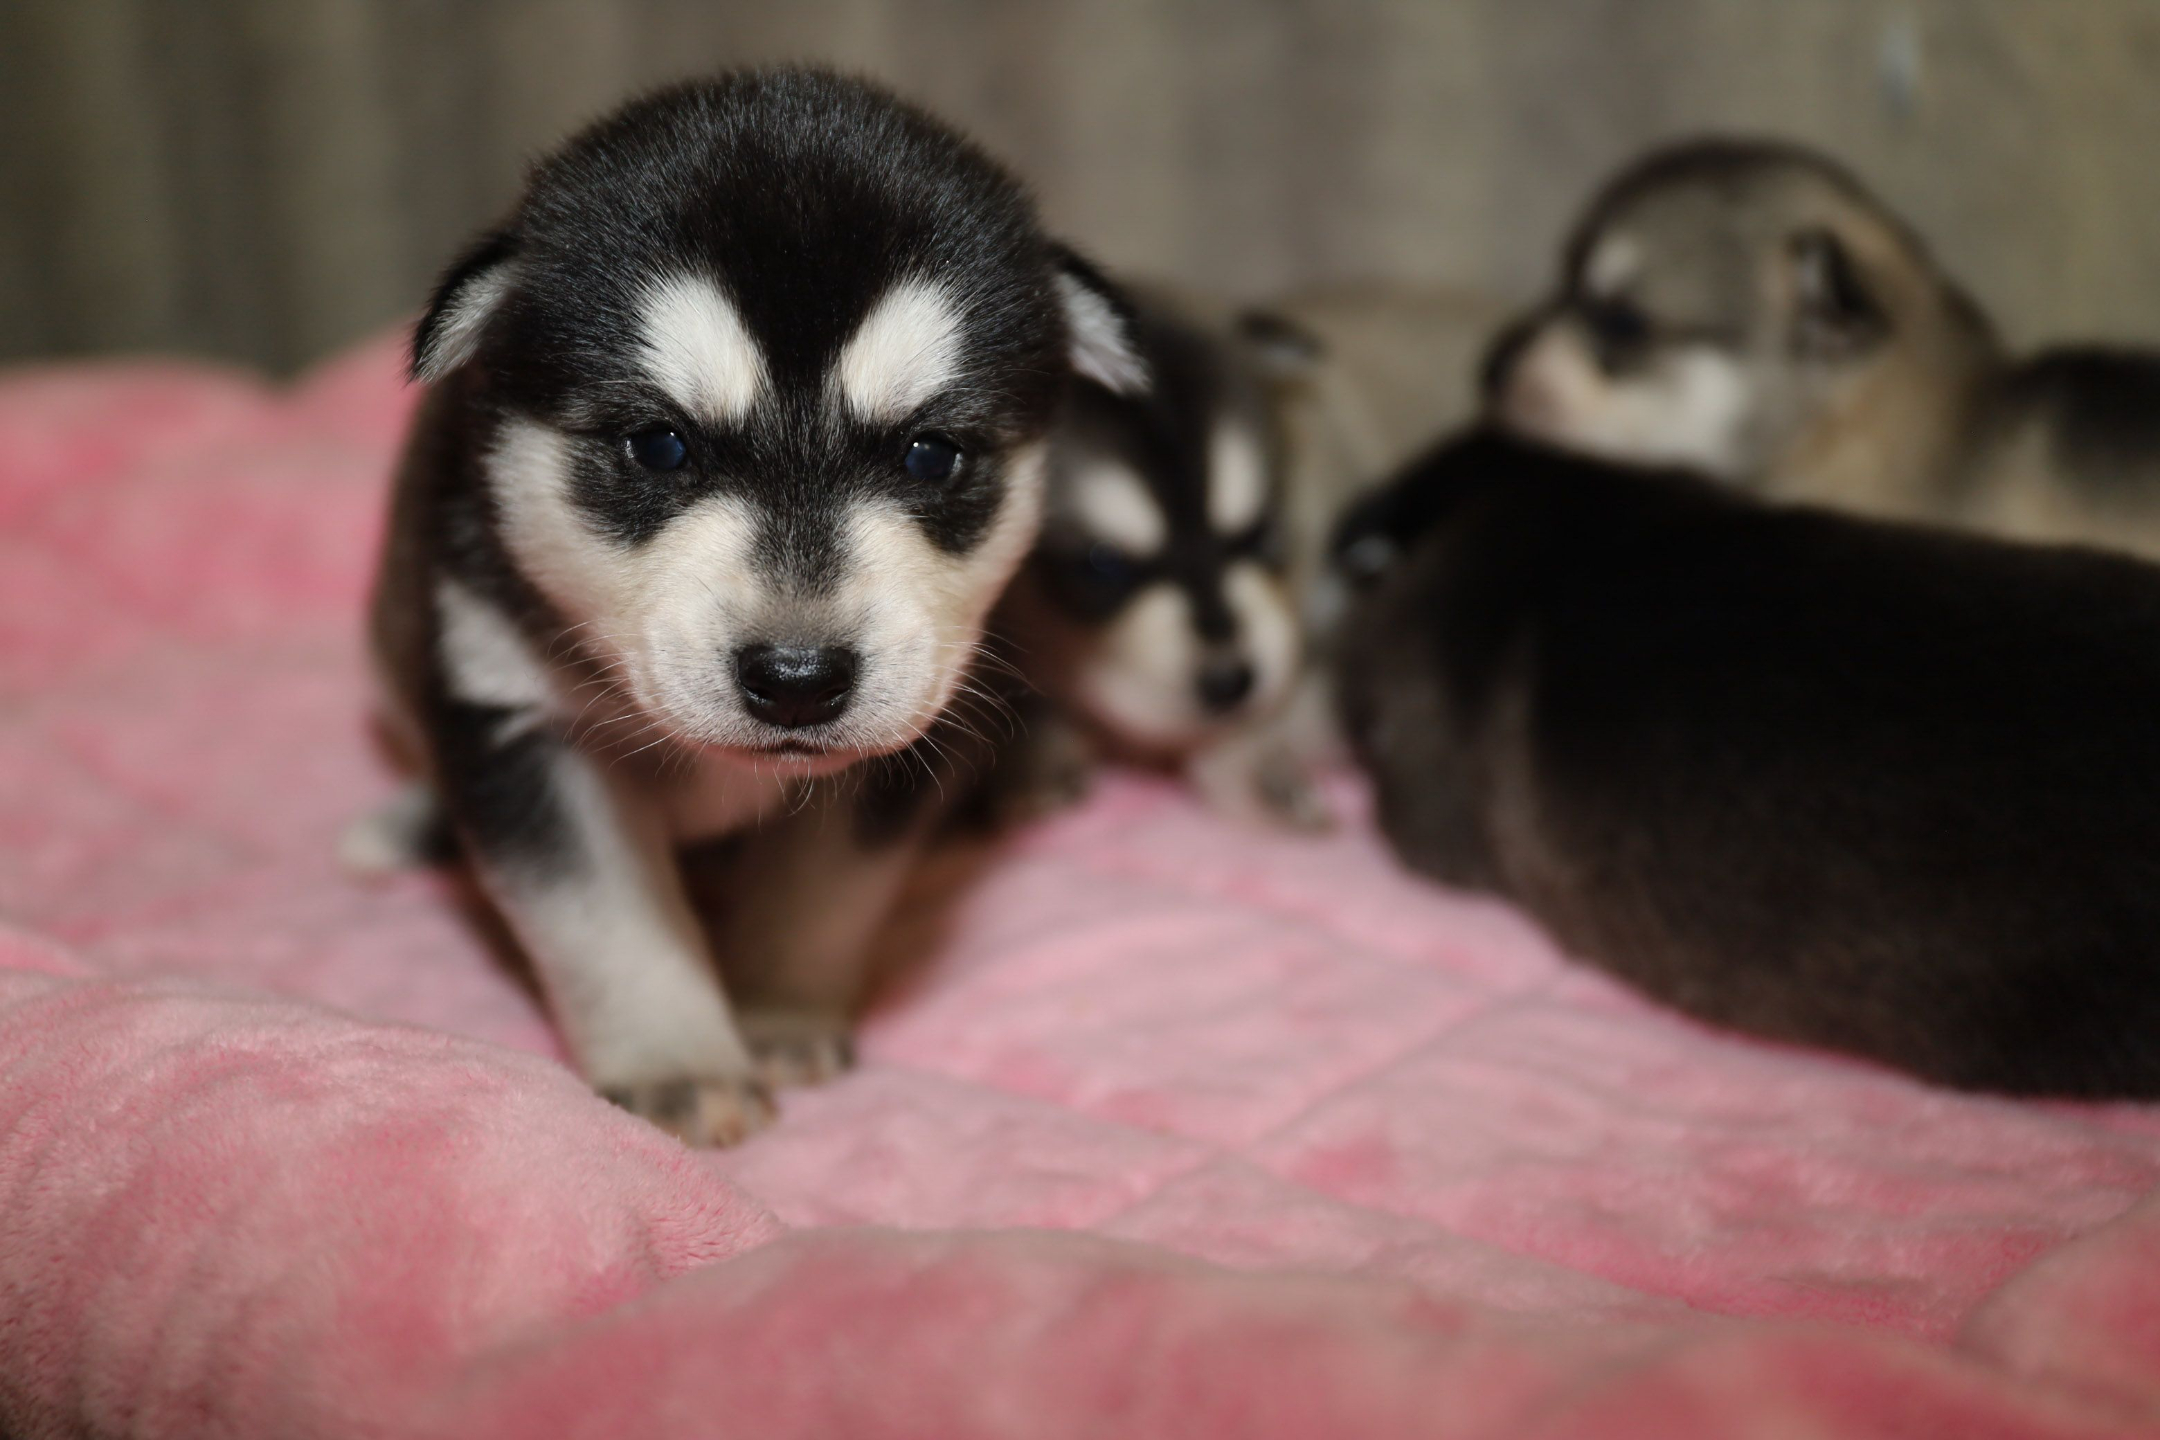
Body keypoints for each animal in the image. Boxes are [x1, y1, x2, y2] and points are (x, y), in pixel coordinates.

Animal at [365, 69, 1143, 1145]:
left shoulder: (896, 743)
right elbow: (607, 921)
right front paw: (678, 1066)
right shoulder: (517, 722)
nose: (799, 681)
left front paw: (778, 1014)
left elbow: (820, 892)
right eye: (660, 446)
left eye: (930, 455)